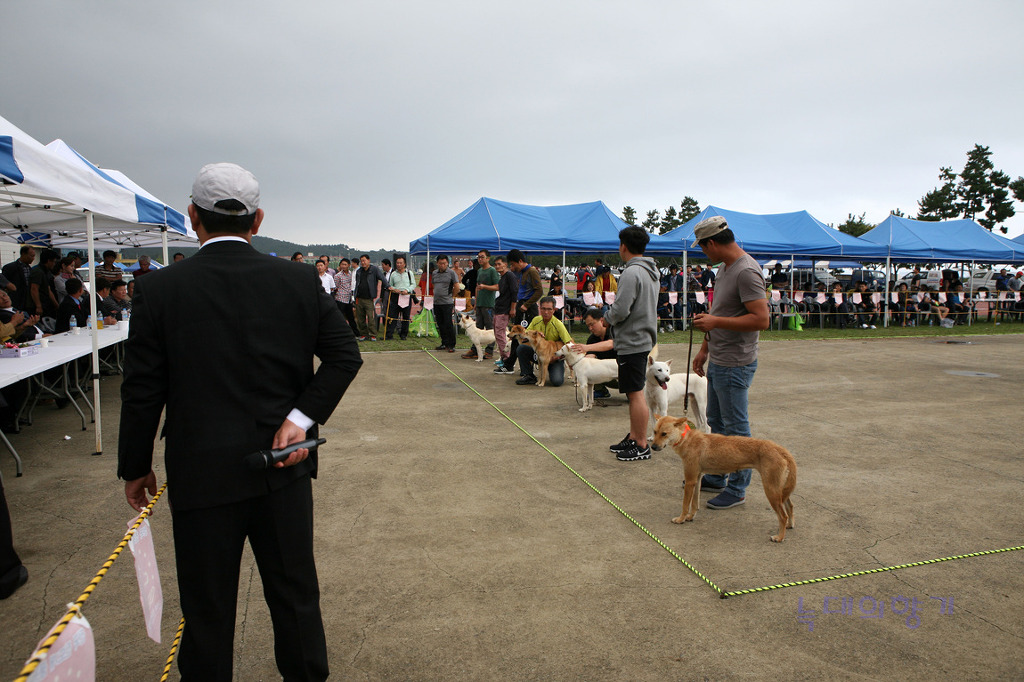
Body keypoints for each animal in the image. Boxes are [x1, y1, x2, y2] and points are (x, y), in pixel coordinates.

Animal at [647, 413, 798, 540]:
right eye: (654, 432)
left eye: (664, 434)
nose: (653, 447)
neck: (686, 438)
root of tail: (781, 450)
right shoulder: (697, 478)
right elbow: (694, 503)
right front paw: (690, 517)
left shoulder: (690, 480)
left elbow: (685, 504)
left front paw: (681, 519)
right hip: (780, 491)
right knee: (790, 506)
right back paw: (790, 525)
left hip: (771, 490)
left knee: (783, 516)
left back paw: (779, 537)